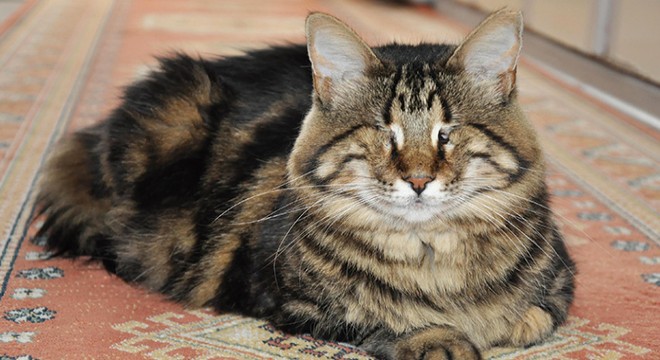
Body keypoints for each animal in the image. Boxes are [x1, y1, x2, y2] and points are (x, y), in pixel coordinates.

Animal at [36, 9, 572, 358]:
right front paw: (439, 338)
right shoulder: (277, 293)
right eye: (384, 133)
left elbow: (530, 318)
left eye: (447, 133)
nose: (418, 179)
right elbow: (380, 318)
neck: (431, 259)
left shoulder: (560, 284)